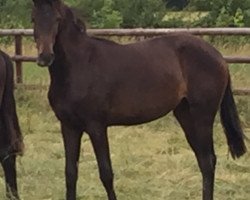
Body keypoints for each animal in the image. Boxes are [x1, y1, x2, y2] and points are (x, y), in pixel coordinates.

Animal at [31, 0, 246, 200]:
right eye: (33, 19)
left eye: (57, 19)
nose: (45, 57)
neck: (79, 65)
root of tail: (218, 56)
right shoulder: (69, 127)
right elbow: (70, 173)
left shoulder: (96, 126)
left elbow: (106, 174)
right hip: (185, 114)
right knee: (203, 159)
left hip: (203, 116)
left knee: (208, 160)